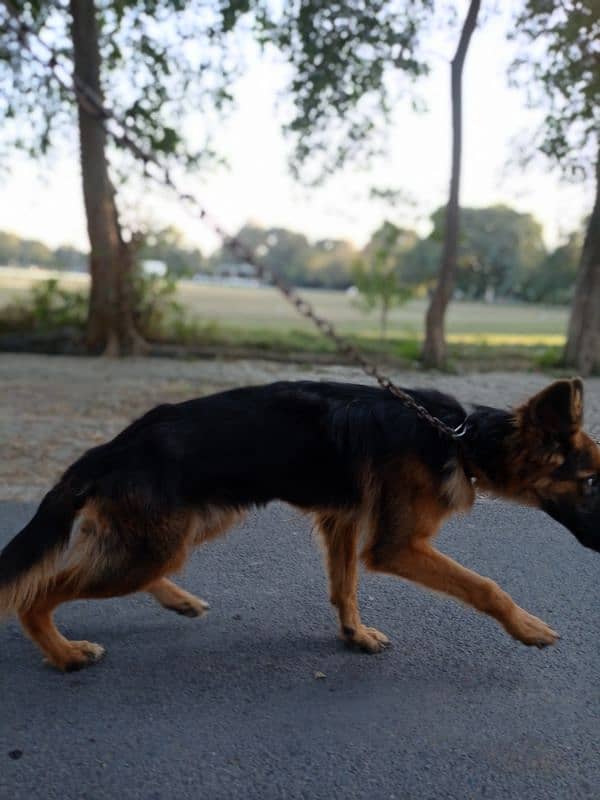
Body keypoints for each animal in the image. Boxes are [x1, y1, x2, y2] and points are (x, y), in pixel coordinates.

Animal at [1, 376, 600, 668]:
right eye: (591, 481)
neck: (459, 437)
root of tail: (111, 448)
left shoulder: (342, 522)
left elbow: (345, 588)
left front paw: (354, 634)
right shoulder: (397, 546)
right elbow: (485, 585)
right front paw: (527, 627)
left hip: (179, 533)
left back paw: (177, 600)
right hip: (158, 544)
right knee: (36, 596)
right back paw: (65, 654)